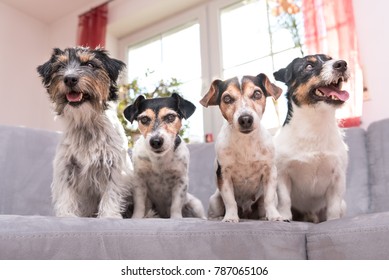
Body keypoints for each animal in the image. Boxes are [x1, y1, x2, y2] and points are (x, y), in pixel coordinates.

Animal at [37, 47, 133, 218]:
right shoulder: (66, 167)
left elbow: (111, 193)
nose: (69, 79)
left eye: (90, 64)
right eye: (60, 66)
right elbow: (66, 194)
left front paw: (109, 216)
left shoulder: (114, 166)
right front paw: (67, 215)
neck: (87, 123)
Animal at [200, 73, 284, 222]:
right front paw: (231, 217)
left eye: (257, 94)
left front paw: (274, 216)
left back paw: (264, 217)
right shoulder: (224, 174)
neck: (246, 142)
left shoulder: (270, 171)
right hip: (214, 200)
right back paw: (217, 218)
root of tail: (246, 213)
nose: (245, 119)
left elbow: (268, 199)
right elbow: (230, 201)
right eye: (227, 98)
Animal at [272, 53, 350, 222]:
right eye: (308, 66)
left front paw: (333, 221)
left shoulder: (338, 177)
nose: (342, 64)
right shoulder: (282, 175)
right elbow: (284, 200)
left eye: (330, 59)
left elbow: (334, 206)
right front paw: (285, 217)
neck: (315, 123)